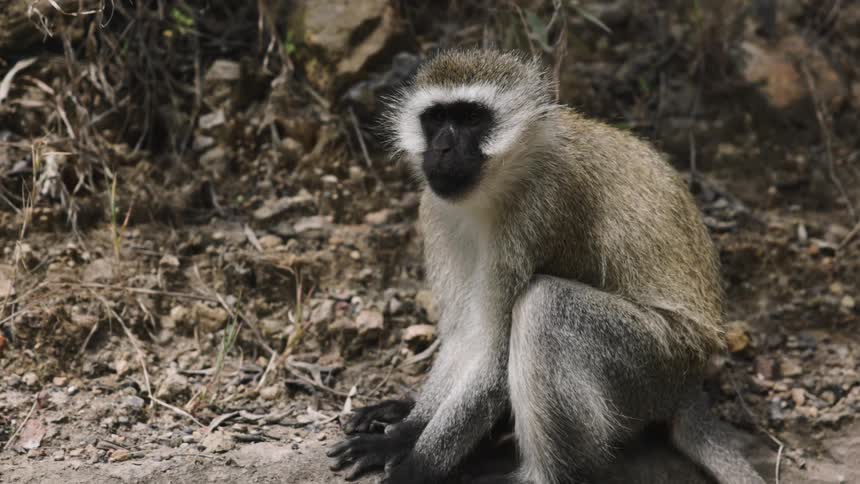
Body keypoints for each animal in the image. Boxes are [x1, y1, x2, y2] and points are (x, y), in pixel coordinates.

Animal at [327, 48, 766, 484]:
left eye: (471, 119)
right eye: (436, 119)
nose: (443, 149)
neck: (503, 178)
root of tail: (689, 388)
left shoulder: (539, 208)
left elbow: (492, 359)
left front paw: (415, 463)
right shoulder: (436, 210)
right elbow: (466, 337)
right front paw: (408, 429)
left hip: (654, 366)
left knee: (545, 305)